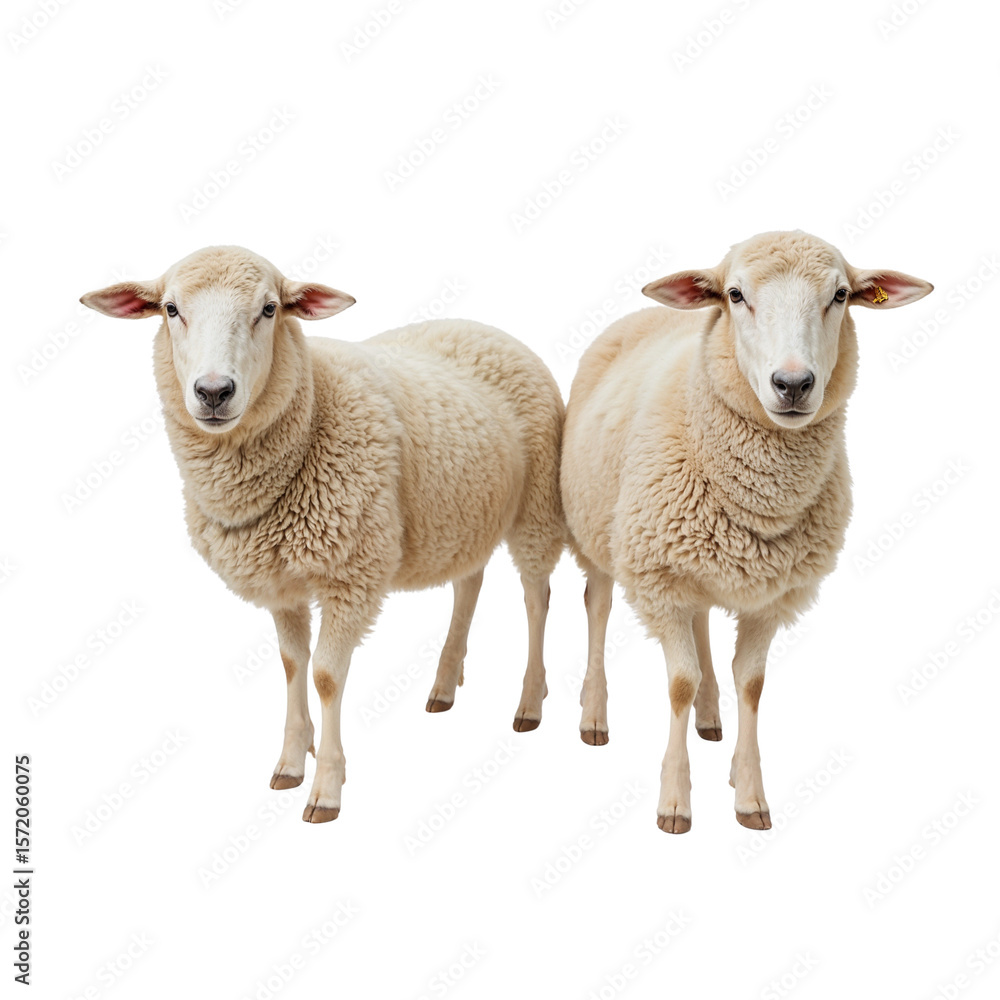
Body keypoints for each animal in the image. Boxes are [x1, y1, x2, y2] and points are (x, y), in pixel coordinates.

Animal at [81, 246, 565, 823]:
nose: (214, 392)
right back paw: (445, 686)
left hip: (536, 507)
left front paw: (327, 787)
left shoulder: (350, 576)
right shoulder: (279, 582)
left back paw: (531, 703)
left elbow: (327, 676)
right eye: (170, 309)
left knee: (537, 599)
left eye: (270, 309)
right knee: (468, 584)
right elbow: (293, 665)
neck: (313, 414)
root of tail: (485, 328)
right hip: (463, 514)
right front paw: (292, 762)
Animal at [560, 230, 932, 834]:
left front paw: (749, 791)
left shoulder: (772, 594)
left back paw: (711, 719)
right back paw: (594, 715)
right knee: (598, 606)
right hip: (597, 526)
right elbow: (678, 683)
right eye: (735, 295)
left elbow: (751, 685)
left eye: (841, 295)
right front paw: (675, 801)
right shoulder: (660, 579)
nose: (793, 384)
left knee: (702, 622)